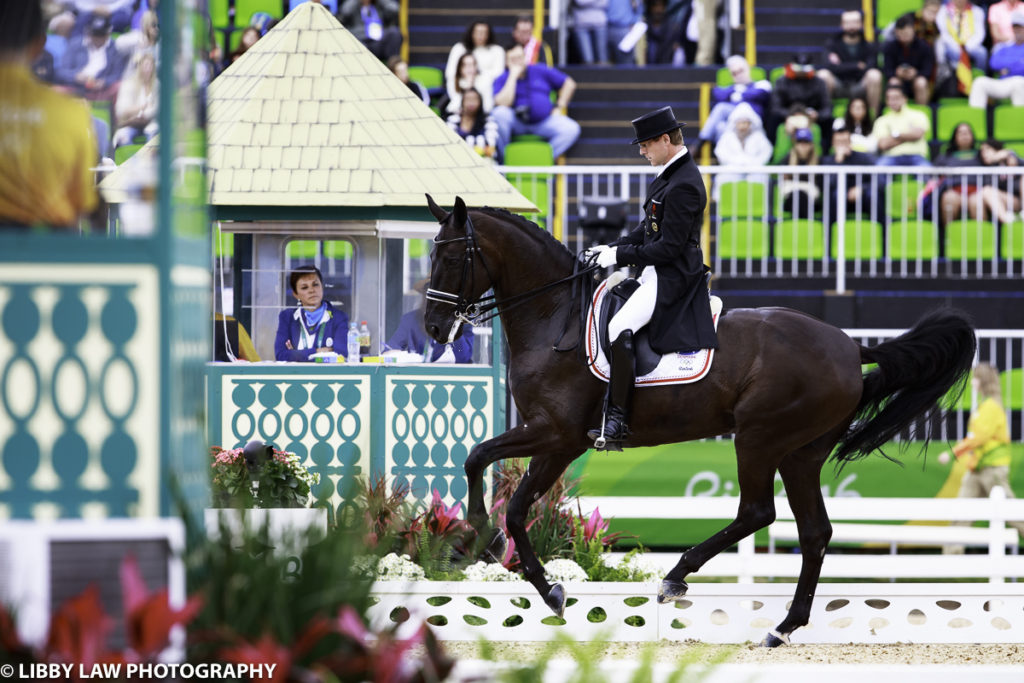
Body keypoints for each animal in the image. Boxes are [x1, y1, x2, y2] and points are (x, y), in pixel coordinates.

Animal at [421, 193, 974, 647]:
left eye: (450, 257)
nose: (434, 328)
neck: (556, 315)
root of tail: (849, 348)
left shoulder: (557, 434)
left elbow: (485, 469)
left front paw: (500, 550)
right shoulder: (553, 439)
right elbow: (504, 494)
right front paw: (530, 575)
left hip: (758, 437)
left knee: (757, 513)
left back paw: (676, 577)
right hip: (800, 453)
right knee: (814, 532)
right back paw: (783, 627)